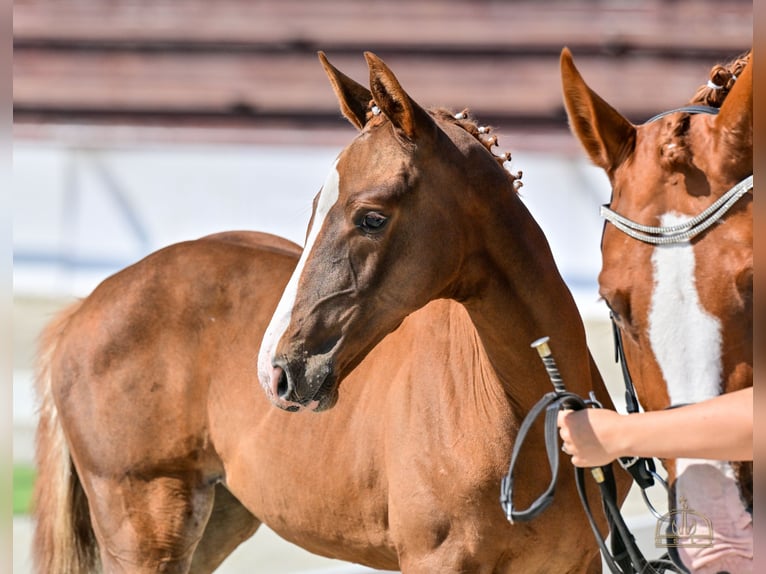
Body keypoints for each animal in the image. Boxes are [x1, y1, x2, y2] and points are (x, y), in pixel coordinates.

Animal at [33, 51, 629, 573]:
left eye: (371, 217)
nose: (276, 372)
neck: (526, 417)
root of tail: (85, 307)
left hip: (216, 520)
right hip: (146, 528)